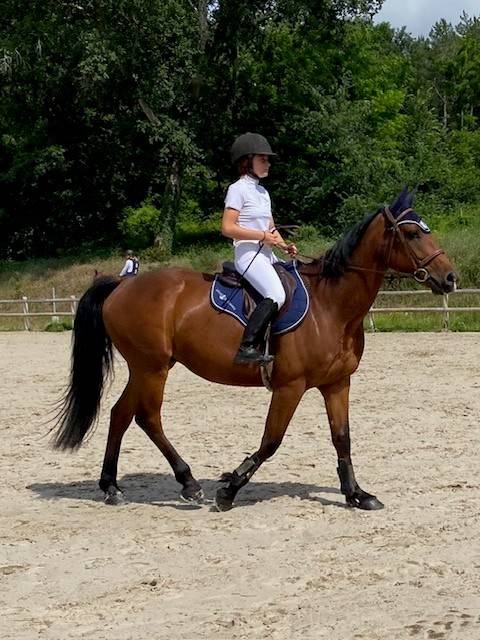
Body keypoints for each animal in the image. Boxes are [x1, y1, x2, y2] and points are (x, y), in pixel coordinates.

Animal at [53, 187, 456, 511]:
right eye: (411, 233)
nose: (450, 278)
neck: (331, 305)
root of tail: (121, 285)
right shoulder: (290, 386)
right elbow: (271, 441)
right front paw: (229, 489)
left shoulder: (337, 383)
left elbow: (342, 438)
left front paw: (357, 494)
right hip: (152, 368)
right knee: (147, 417)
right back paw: (189, 483)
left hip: (144, 368)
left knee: (121, 414)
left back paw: (111, 487)